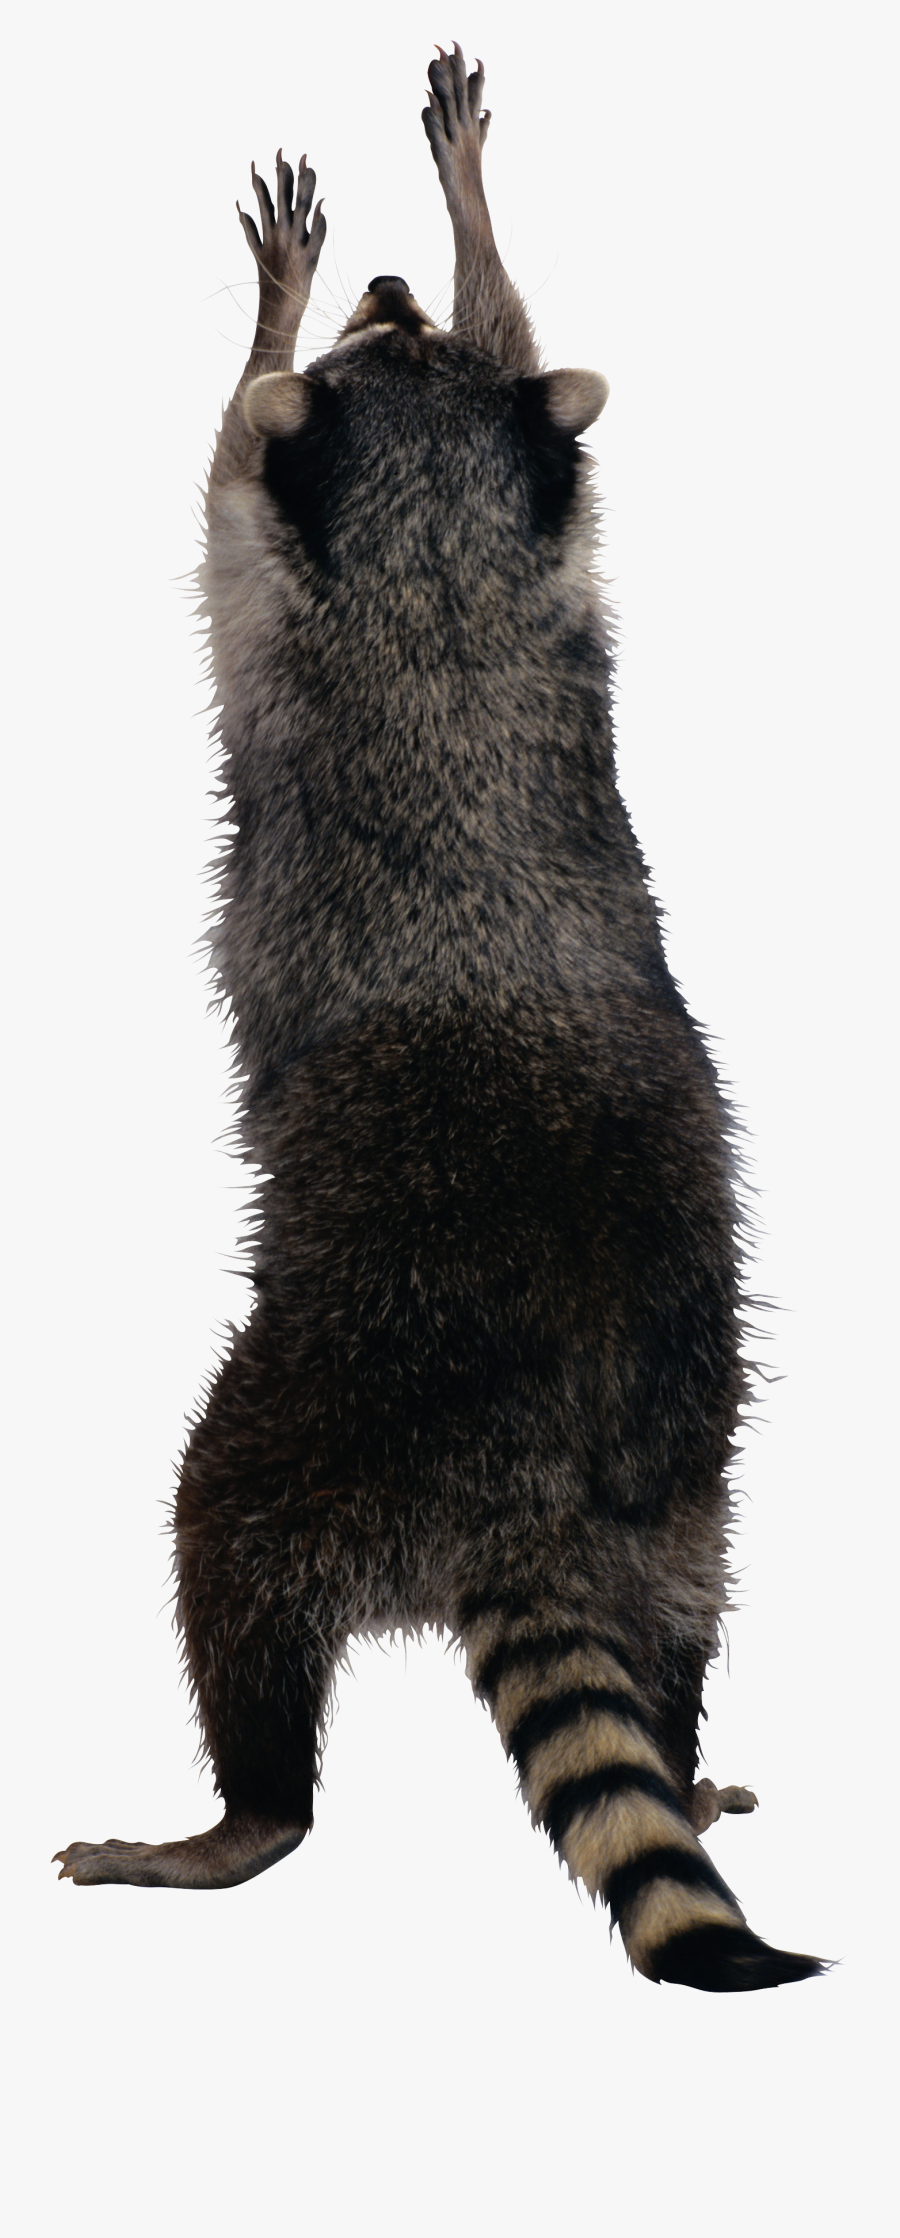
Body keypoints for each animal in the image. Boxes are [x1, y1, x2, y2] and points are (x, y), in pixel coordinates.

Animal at [55, 44, 822, 1992]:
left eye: (373, 345)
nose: (394, 282)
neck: (443, 555)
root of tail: (532, 1477)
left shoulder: (270, 575)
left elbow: (216, 455)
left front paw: (296, 291)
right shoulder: (557, 560)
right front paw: (468, 232)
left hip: (330, 1396)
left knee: (225, 1542)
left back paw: (242, 1812)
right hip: (687, 1466)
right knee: (679, 1617)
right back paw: (679, 1752)